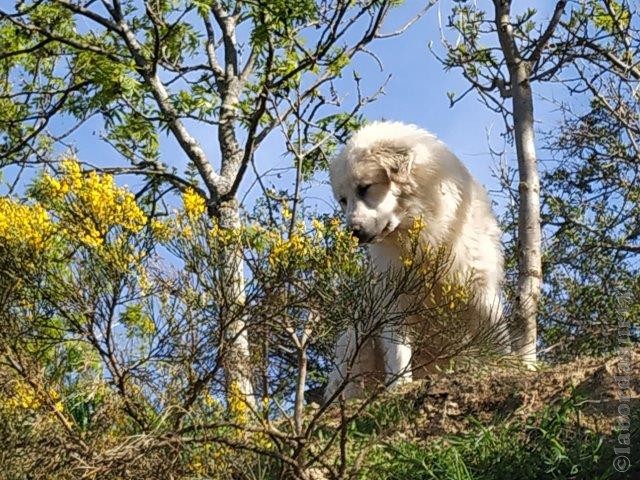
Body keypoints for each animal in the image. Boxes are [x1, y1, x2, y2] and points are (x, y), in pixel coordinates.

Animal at [324, 121, 510, 402]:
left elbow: (500, 340)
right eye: (343, 200)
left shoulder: (480, 290)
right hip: (356, 338)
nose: (353, 232)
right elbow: (399, 354)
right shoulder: (394, 302)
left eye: (365, 188)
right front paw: (398, 389)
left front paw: (521, 367)